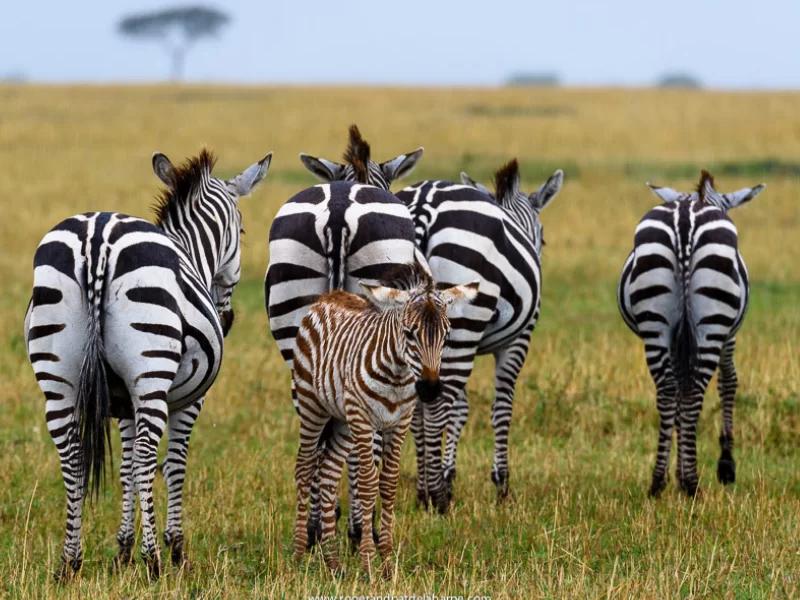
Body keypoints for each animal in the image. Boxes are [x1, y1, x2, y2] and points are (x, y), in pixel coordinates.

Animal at [25, 148, 270, 579]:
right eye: (241, 233)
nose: (227, 320)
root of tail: (97, 240)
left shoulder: (123, 403)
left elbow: (125, 469)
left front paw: (122, 550)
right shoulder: (187, 402)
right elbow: (171, 465)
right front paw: (175, 548)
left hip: (57, 377)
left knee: (71, 455)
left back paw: (70, 562)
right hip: (151, 374)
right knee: (145, 456)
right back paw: (153, 560)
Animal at [265, 126, 422, 548]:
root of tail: (337, 212)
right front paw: (359, 524)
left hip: (296, 325)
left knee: (311, 427)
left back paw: (315, 529)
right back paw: (354, 528)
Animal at [292, 261, 478, 577]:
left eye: (446, 336)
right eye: (409, 333)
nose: (430, 389)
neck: (398, 376)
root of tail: (330, 296)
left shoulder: (398, 423)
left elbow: (388, 485)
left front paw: (388, 563)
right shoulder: (364, 421)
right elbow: (367, 485)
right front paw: (368, 562)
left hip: (343, 421)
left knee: (328, 474)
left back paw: (333, 563)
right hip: (313, 406)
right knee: (304, 468)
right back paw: (297, 554)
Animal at [394, 160, 564, 512]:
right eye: (543, 238)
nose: (539, 251)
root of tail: (422, 205)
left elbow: (460, 410)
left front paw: (447, 476)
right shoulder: (517, 343)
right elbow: (501, 408)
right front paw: (501, 485)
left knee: (416, 406)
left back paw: (419, 492)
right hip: (462, 322)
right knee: (437, 406)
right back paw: (437, 501)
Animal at [618, 171, 764, 497]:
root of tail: (685, 219)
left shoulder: (677, 339)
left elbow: (678, 393)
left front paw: (676, 470)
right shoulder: (728, 337)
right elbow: (728, 381)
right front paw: (726, 466)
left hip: (655, 322)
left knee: (669, 390)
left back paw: (658, 481)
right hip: (713, 321)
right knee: (696, 389)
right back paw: (692, 483)